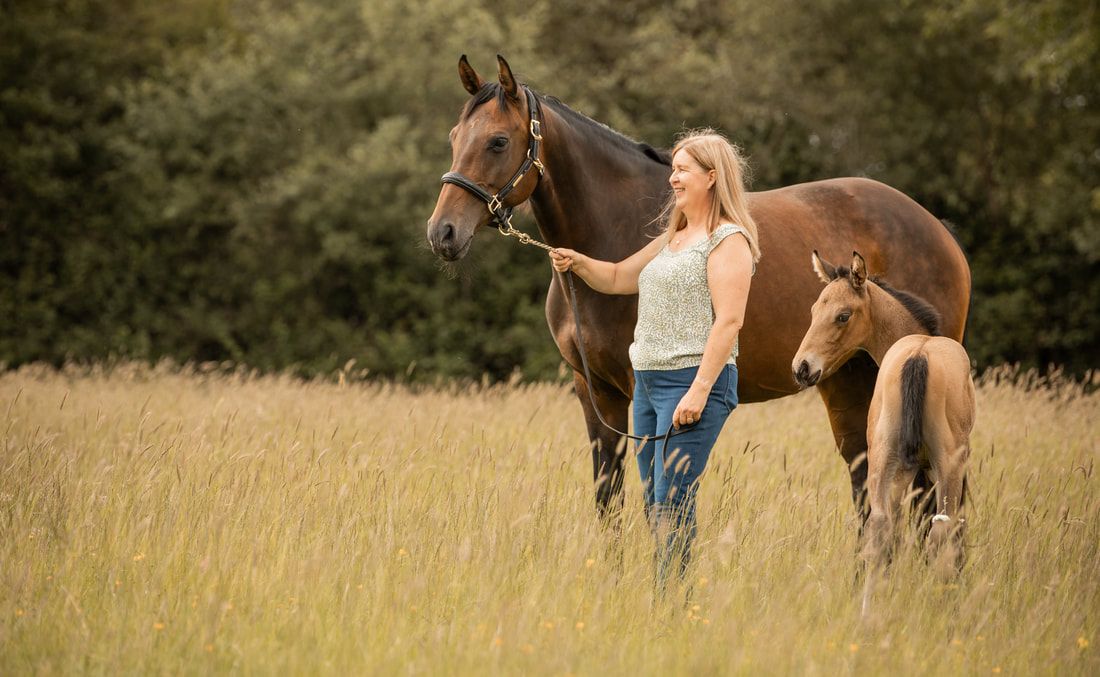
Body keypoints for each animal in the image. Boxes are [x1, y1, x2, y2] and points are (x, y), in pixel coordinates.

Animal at [426, 55, 971, 521]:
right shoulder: (594, 391)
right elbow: (608, 495)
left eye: (498, 141)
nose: (442, 233)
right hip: (847, 382)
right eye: (454, 135)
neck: (614, 229)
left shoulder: (641, 391)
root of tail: (940, 231)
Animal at [791, 251, 975, 611]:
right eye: (814, 311)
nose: (802, 368)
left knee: (879, 527)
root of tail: (918, 356)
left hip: (881, 458)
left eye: (842, 315)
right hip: (946, 464)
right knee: (941, 529)